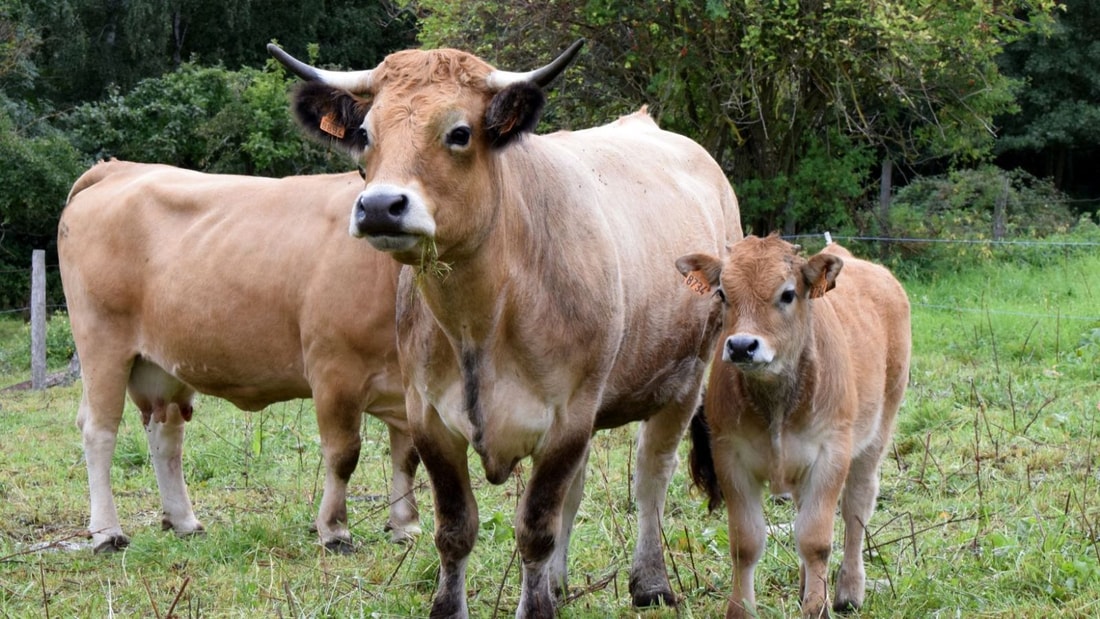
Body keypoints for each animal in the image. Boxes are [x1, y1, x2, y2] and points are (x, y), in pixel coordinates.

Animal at [59, 158, 420, 551]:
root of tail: (119, 168)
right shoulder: (334, 372)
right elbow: (343, 454)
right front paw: (334, 530)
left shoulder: (407, 385)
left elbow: (408, 455)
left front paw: (406, 527)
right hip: (102, 344)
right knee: (99, 431)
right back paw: (107, 533)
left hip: (163, 360)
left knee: (165, 434)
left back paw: (184, 521)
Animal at [270, 41, 743, 615]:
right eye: (365, 133)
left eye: (459, 132)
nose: (381, 206)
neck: (482, 319)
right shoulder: (428, 416)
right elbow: (456, 528)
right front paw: (455, 606)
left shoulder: (567, 418)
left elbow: (535, 527)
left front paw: (535, 606)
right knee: (578, 490)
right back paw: (559, 583)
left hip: (684, 381)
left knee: (651, 475)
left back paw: (649, 581)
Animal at [677, 236, 910, 619]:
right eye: (723, 293)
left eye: (788, 294)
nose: (742, 345)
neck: (776, 404)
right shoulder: (730, 456)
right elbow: (746, 541)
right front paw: (742, 609)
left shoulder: (832, 454)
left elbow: (815, 540)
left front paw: (818, 607)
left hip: (877, 433)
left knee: (856, 508)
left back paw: (848, 591)